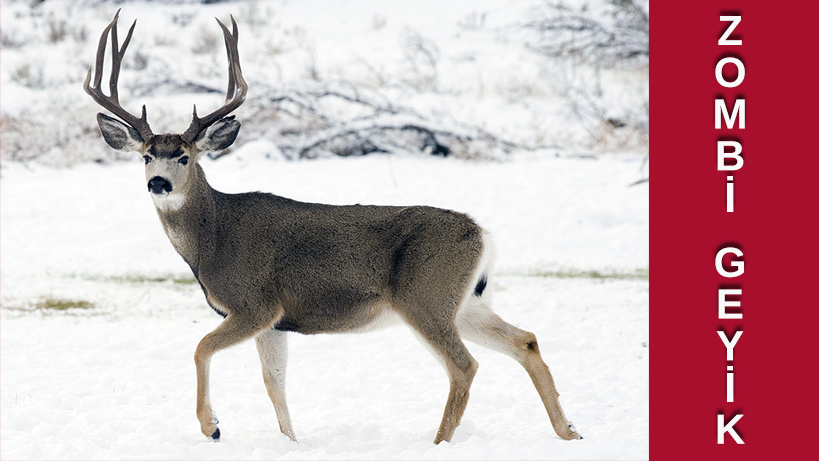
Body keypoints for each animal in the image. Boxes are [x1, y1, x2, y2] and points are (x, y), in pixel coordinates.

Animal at [85, 9, 584, 442]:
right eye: (146, 156)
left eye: (185, 156)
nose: (159, 183)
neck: (214, 238)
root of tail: (481, 234)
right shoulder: (275, 322)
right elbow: (274, 383)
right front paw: (291, 443)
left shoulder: (255, 303)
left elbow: (201, 347)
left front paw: (212, 427)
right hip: (465, 301)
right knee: (526, 341)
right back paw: (570, 431)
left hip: (425, 296)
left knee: (465, 366)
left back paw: (440, 442)